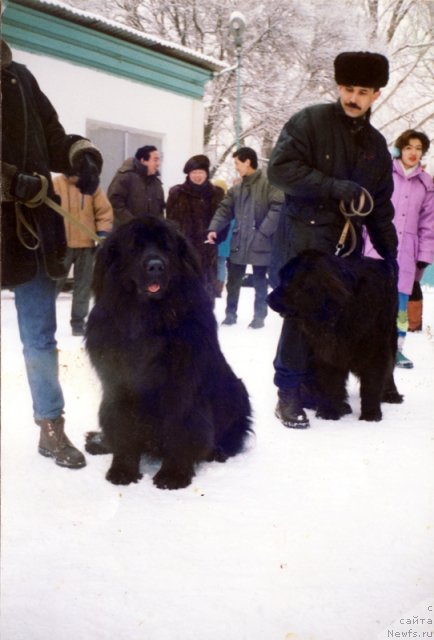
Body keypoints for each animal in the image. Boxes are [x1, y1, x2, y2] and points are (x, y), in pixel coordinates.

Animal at [84, 216, 251, 490]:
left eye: (167, 248)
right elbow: (123, 426)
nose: (155, 266)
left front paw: (174, 474)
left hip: (237, 392)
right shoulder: (118, 386)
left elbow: (180, 426)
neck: (149, 320)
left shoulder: (181, 386)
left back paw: (217, 450)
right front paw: (123, 469)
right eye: (135, 248)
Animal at [268, 251, 404, 424]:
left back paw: (391, 394)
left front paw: (371, 414)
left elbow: (372, 383)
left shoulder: (374, 351)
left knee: (390, 368)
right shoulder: (328, 352)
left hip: (390, 336)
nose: (268, 299)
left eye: (286, 282)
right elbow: (330, 383)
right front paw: (329, 411)